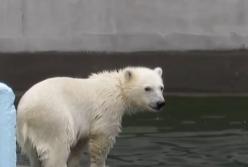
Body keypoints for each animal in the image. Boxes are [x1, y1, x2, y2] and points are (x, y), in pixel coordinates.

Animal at [17, 66, 165, 167]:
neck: (118, 89)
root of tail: (26, 112)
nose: (160, 103)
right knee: (56, 150)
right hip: (54, 120)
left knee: (34, 155)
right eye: (147, 88)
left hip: (28, 136)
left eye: (161, 87)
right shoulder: (107, 110)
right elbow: (102, 139)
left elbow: (79, 144)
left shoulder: (84, 124)